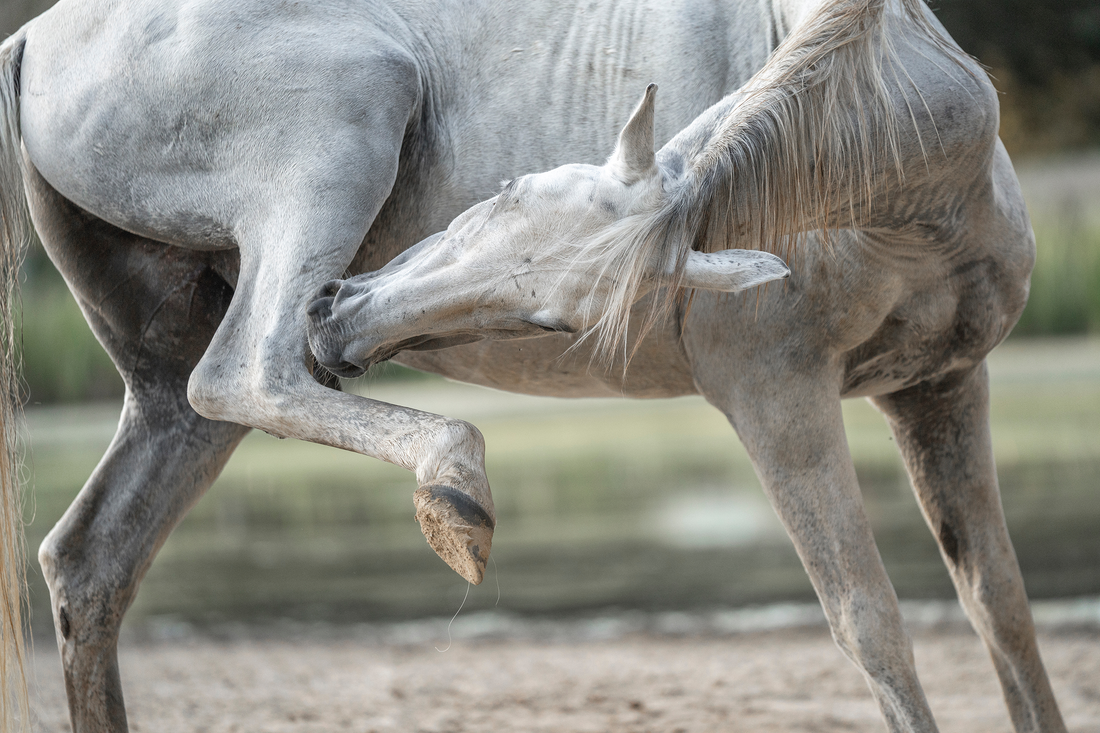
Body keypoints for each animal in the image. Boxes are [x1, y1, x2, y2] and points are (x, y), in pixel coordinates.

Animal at [0, 0, 1063, 730]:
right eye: (506, 190)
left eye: (556, 319)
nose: (338, 316)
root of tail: (37, 38)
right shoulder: (779, 397)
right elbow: (871, 623)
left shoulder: (938, 391)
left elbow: (1002, 611)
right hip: (336, 140)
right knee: (248, 376)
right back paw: (453, 488)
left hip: (166, 397)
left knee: (94, 558)